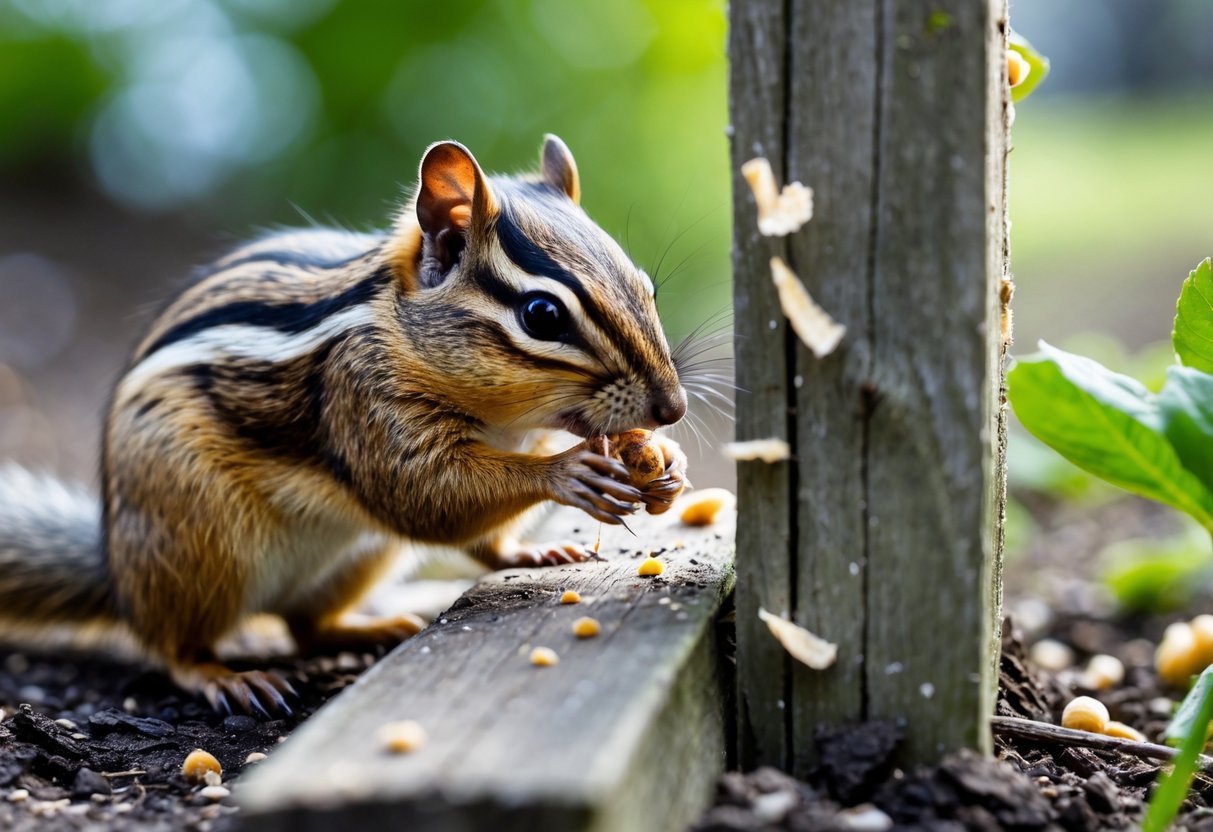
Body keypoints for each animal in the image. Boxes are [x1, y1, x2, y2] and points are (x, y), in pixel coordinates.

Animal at [0, 135, 688, 716]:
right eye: (542, 315)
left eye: (646, 288)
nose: (673, 408)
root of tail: (116, 572)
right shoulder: (361, 400)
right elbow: (425, 496)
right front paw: (569, 472)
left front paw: (664, 463)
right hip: (196, 541)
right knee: (173, 645)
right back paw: (224, 676)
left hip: (359, 554)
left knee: (306, 624)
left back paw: (404, 612)